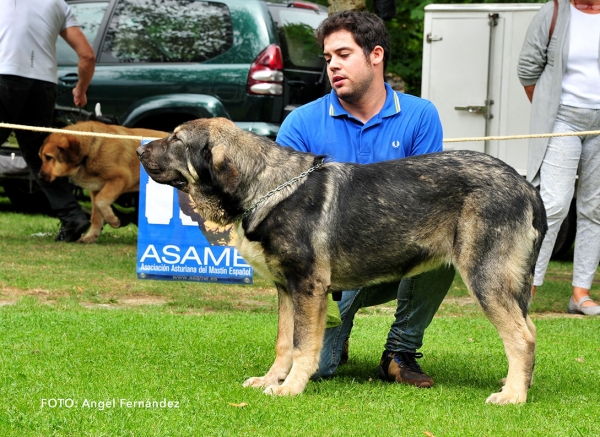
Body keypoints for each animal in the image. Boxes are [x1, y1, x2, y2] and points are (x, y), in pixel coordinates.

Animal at [138, 117, 548, 404]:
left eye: (177, 139)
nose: (140, 151)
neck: (266, 186)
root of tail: (526, 186)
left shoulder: (308, 287)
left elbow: (303, 345)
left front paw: (290, 388)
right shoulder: (286, 290)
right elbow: (283, 344)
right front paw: (271, 380)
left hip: (483, 276)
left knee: (522, 336)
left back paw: (513, 396)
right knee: (528, 329)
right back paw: (518, 384)